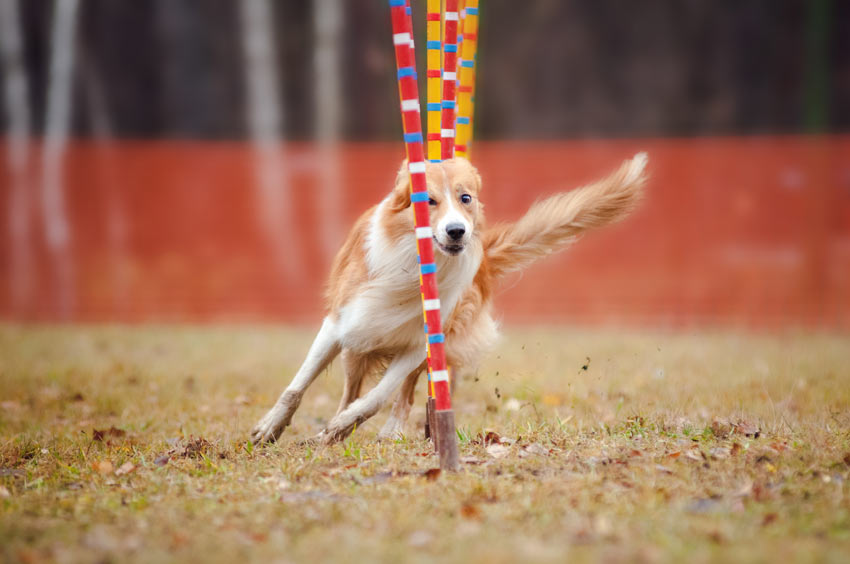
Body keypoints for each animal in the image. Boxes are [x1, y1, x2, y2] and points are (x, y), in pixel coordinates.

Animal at [248, 153, 644, 446]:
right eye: (427, 201)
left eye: (465, 198)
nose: (457, 231)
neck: (414, 264)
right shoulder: (341, 323)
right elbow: (297, 385)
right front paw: (269, 428)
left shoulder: (420, 341)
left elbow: (381, 395)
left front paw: (349, 423)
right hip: (357, 348)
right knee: (350, 389)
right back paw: (328, 433)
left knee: (403, 394)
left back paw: (376, 431)